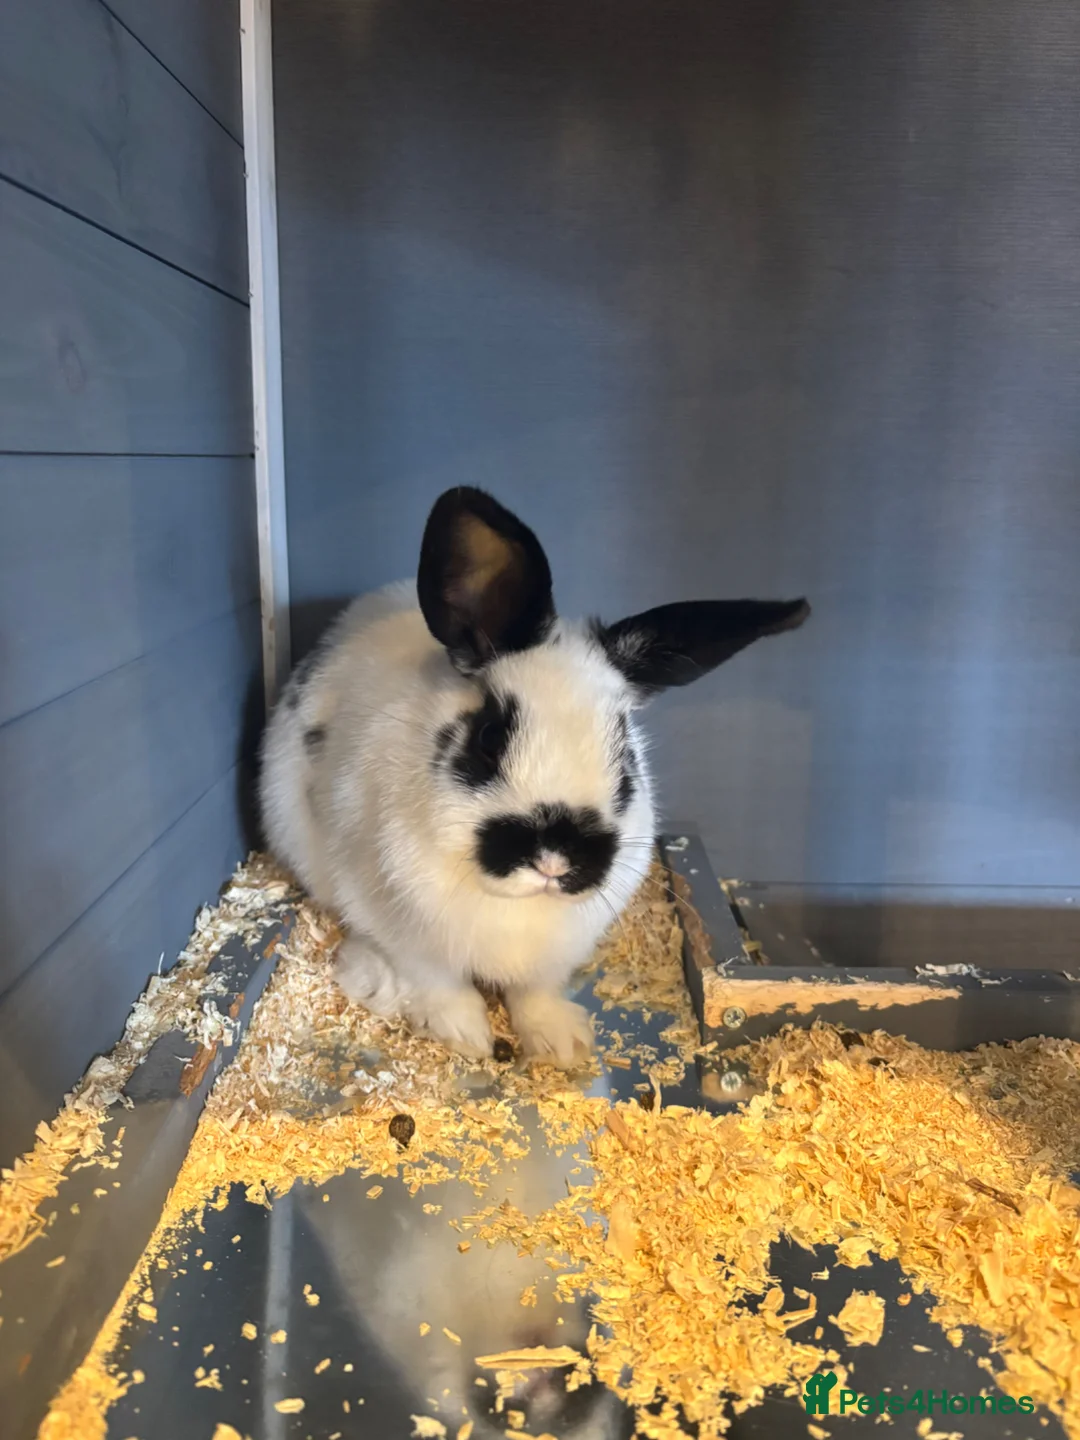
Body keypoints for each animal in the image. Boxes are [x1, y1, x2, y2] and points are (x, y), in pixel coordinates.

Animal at [259, 486, 809, 1065]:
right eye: (488, 739)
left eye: (626, 760)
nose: (555, 859)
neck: (519, 908)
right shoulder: (402, 930)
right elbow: (438, 983)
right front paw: (466, 1037)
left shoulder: (552, 957)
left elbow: (534, 993)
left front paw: (561, 1045)